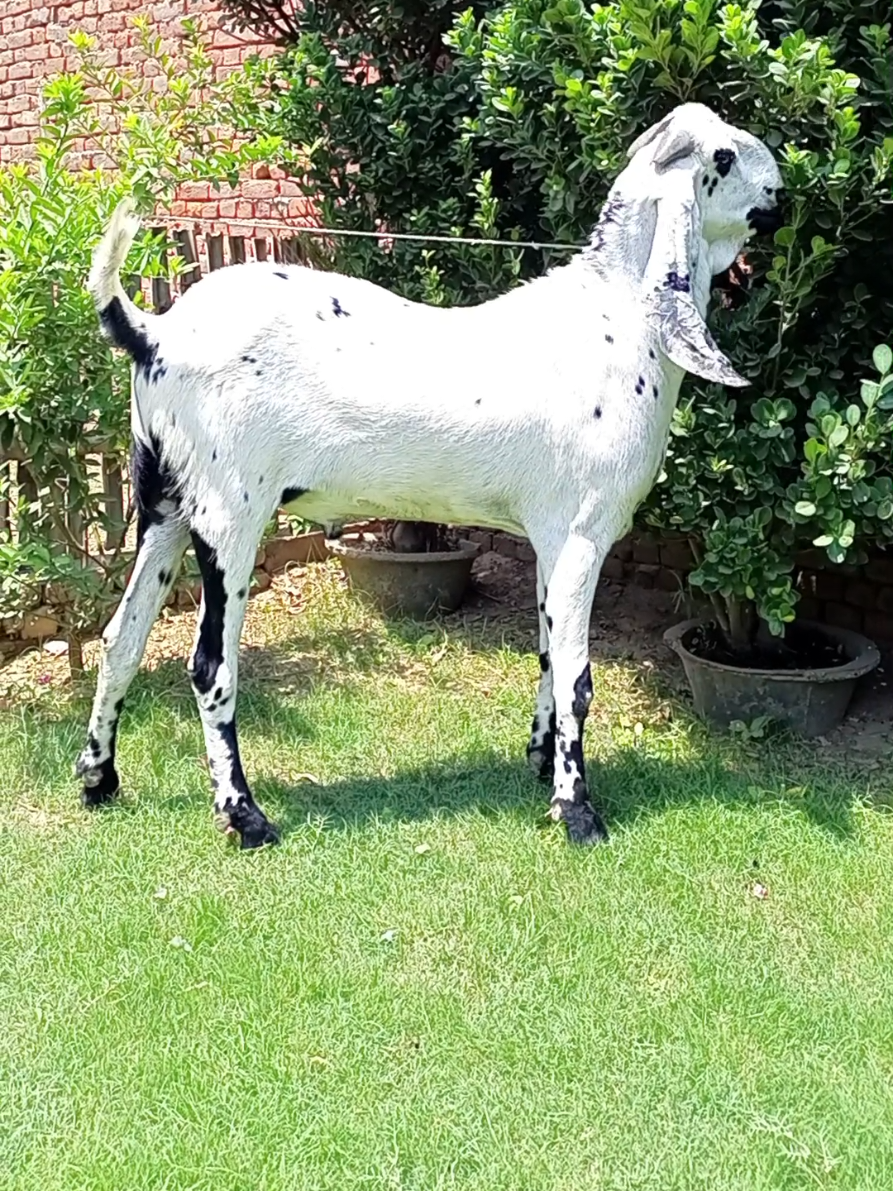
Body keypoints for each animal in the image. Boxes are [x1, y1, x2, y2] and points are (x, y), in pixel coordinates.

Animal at [76, 103, 783, 848]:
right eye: (722, 156)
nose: (781, 189)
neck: (618, 314)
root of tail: (153, 332)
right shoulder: (586, 534)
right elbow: (577, 678)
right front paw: (576, 810)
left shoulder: (550, 538)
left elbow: (546, 652)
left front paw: (539, 758)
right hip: (228, 517)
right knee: (209, 667)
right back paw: (244, 814)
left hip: (166, 510)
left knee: (121, 639)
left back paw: (99, 778)